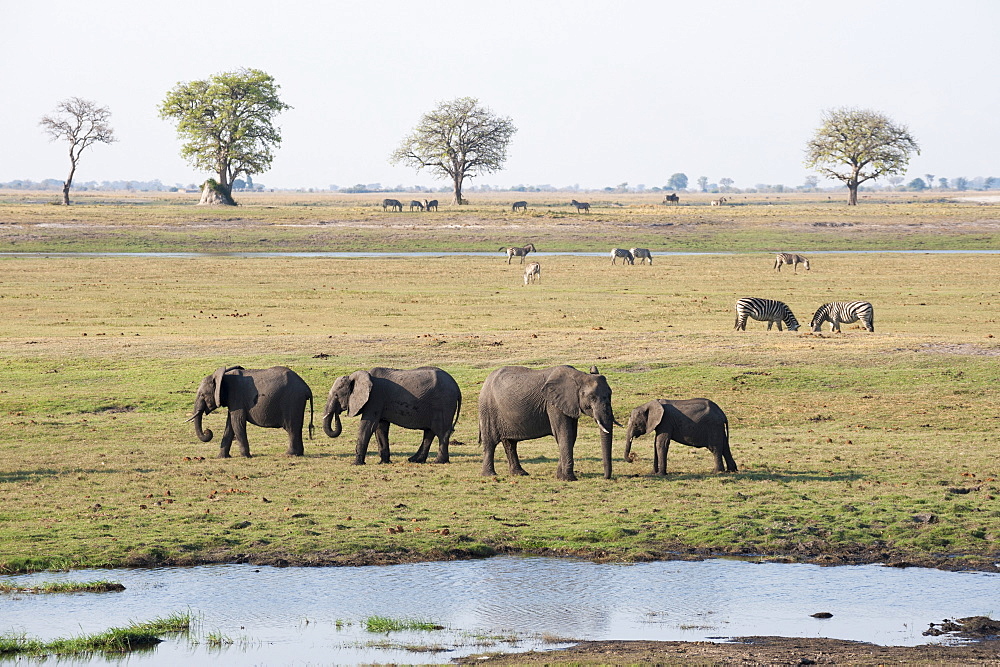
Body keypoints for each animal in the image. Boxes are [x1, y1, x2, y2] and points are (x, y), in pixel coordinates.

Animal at [320, 366, 460, 464]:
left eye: (336, 395)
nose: (337, 413)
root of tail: (457, 387)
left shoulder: (375, 398)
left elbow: (368, 426)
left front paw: (356, 464)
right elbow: (380, 427)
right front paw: (383, 462)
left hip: (444, 404)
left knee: (441, 432)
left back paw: (439, 461)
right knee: (430, 432)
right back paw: (415, 460)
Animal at [478, 366, 616, 480]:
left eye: (610, 395)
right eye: (592, 397)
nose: (605, 477)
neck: (579, 376)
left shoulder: (568, 405)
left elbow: (571, 436)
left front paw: (560, 476)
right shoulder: (553, 404)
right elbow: (564, 434)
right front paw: (569, 479)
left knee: (510, 444)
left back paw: (520, 473)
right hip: (488, 409)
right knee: (490, 443)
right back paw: (489, 475)